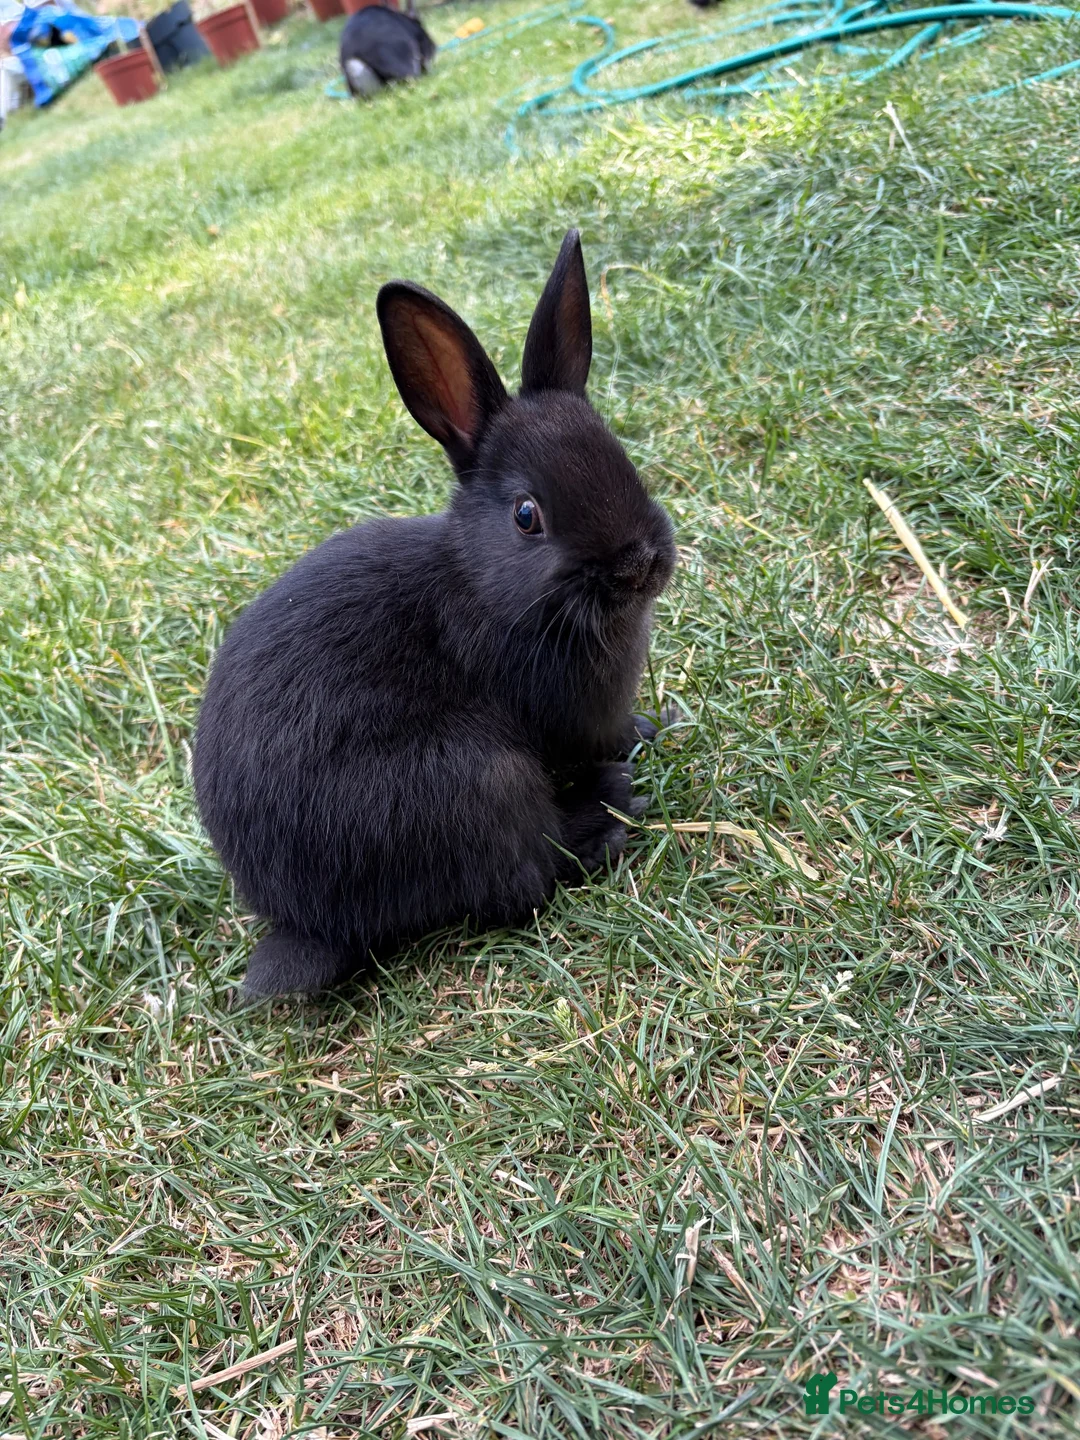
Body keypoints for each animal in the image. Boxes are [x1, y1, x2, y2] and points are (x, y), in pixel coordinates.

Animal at [194, 230, 676, 998]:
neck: (481, 584)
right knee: (523, 882)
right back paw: (606, 815)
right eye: (526, 516)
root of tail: (309, 923)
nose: (639, 565)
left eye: (621, 458)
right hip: (479, 781)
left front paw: (651, 728)